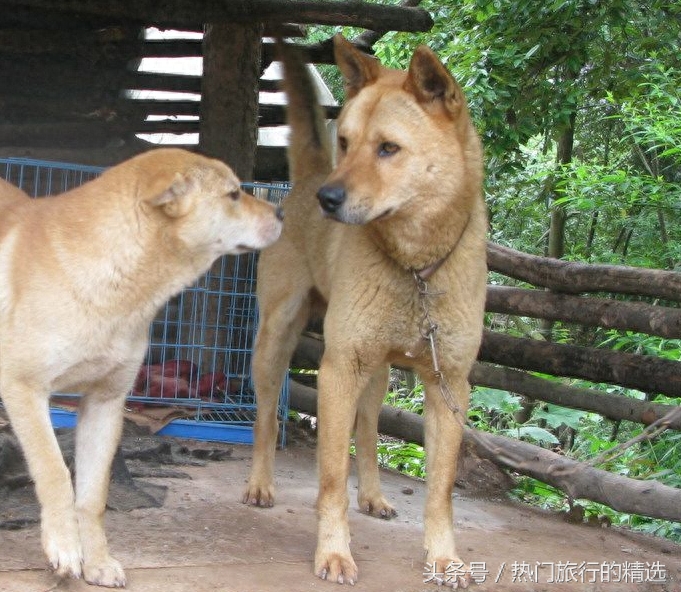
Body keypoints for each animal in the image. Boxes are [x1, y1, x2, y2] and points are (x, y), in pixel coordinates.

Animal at [0, 148, 282, 588]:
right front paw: (64, 547)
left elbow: (93, 496)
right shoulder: (24, 389)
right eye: (234, 194)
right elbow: (55, 473)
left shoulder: (104, 402)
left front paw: (97, 561)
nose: (283, 211)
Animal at [242, 38, 486, 588]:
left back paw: (373, 495)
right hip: (275, 342)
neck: (415, 269)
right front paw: (333, 551)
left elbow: (440, 491)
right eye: (346, 141)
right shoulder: (338, 369)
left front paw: (445, 558)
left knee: (370, 430)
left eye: (388, 148)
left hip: (378, 371)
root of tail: (308, 175)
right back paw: (260, 484)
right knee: (266, 420)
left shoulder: (449, 384)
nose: (327, 199)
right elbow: (331, 476)